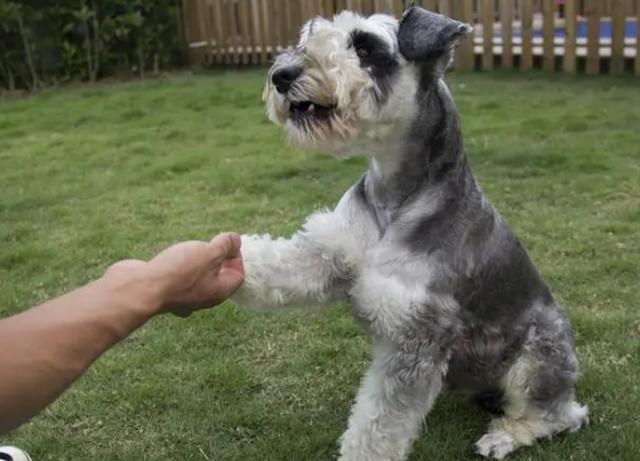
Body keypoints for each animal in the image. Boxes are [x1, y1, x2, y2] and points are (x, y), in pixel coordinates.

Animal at [232, 7, 588, 460]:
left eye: (366, 48)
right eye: (312, 34)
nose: (282, 74)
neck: (394, 198)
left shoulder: (416, 336)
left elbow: (378, 425)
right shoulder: (328, 255)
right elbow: (277, 264)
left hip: (540, 355)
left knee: (559, 415)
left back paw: (504, 436)